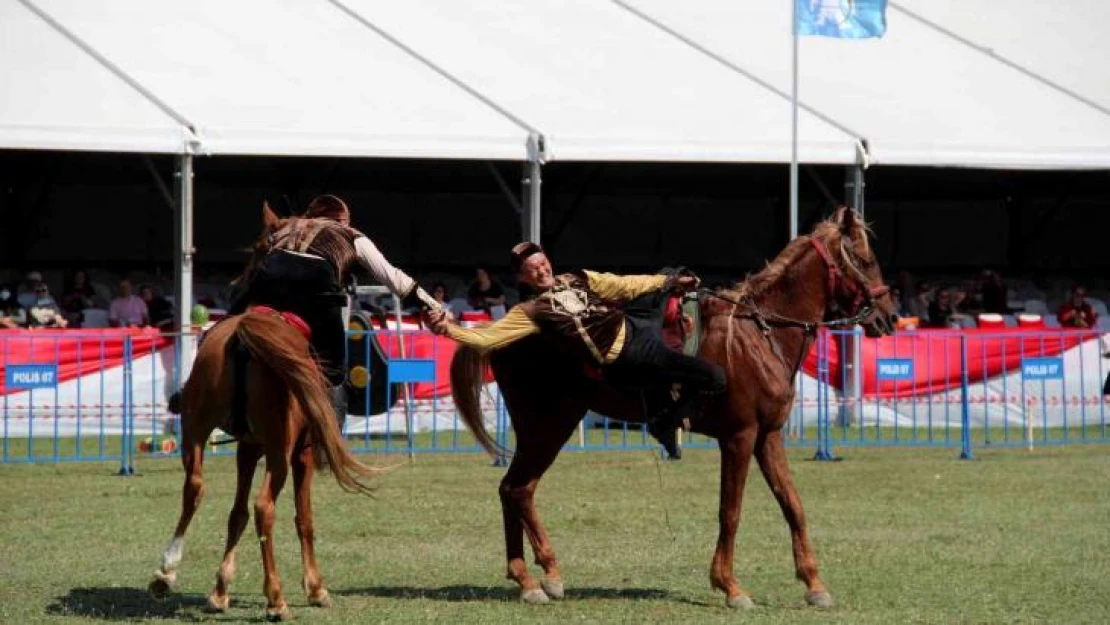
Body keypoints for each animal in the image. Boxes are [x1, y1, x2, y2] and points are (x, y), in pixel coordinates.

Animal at [147, 310, 381, 621]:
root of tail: (242, 334)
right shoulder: (301, 454)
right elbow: (303, 519)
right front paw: (316, 588)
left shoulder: (247, 449)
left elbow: (237, 515)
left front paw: (220, 591)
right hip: (279, 452)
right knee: (264, 507)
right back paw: (276, 599)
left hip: (196, 431)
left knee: (194, 489)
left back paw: (165, 572)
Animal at [446, 207, 896, 608]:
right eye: (866, 261)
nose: (889, 318)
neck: (757, 334)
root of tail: (506, 330)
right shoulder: (740, 437)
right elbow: (730, 511)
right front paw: (730, 587)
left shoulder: (768, 436)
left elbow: (793, 506)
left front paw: (814, 584)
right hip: (548, 426)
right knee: (516, 489)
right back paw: (532, 579)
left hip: (547, 427)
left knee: (516, 490)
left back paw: (540, 577)